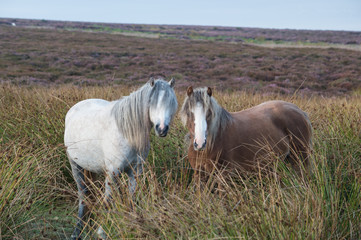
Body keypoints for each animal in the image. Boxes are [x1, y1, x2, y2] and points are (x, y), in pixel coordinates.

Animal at [65, 78, 179, 239]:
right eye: (151, 102)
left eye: (171, 102)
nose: (162, 129)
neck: (127, 133)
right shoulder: (112, 173)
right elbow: (107, 201)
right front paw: (102, 231)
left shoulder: (135, 172)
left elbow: (131, 199)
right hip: (75, 165)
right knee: (83, 195)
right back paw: (77, 231)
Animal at [180, 86, 312, 180]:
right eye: (190, 113)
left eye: (209, 113)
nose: (200, 143)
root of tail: (300, 111)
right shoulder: (199, 174)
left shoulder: (223, 175)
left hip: (300, 159)